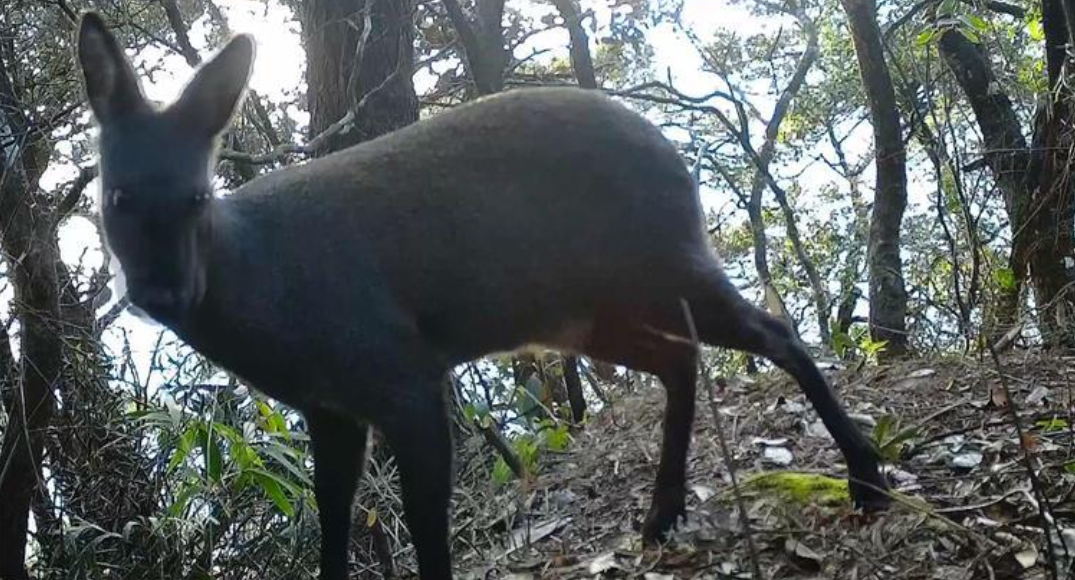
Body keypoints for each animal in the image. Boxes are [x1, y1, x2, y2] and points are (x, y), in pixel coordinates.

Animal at [75, 12, 890, 580]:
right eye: (116, 198)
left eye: (195, 197)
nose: (162, 293)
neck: (271, 295)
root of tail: (674, 154)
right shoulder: (330, 406)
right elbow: (334, 518)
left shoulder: (399, 371)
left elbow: (424, 524)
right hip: (593, 313)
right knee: (681, 361)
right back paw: (662, 515)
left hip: (664, 264)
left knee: (775, 333)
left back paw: (866, 480)